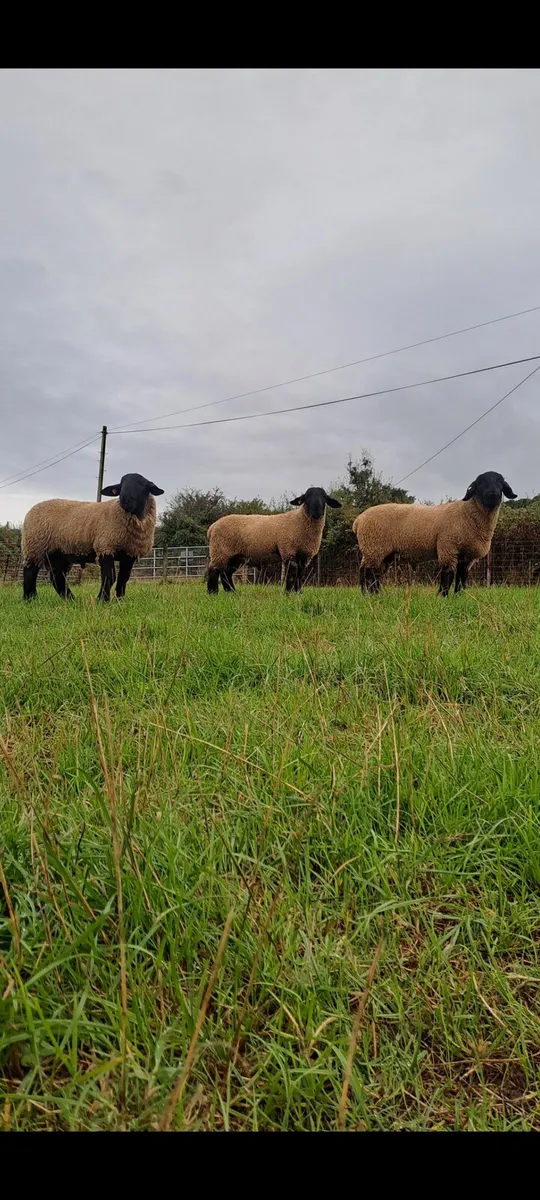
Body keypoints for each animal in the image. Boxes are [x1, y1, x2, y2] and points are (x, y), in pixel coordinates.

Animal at [21, 472, 164, 602]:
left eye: (141, 484)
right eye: (121, 485)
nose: (124, 501)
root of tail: (32, 509)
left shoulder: (130, 553)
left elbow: (124, 578)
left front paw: (119, 600)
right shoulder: (105, 546)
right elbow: (109, 576)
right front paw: (102, 600)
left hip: (56, 553)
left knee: (57, 576)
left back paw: (70, 599)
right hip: (35, 546)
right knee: (30, 572)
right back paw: (30, 599)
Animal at [206, 486, 342, 594]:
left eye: (324, 497)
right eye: (306, 498)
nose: (317, 512)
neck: (300, 521)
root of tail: (213, 527)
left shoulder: (305, 557)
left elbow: (300, 576)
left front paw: (298, 593)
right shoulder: (289, 551)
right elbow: (291, 575)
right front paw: (288, 593)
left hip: (235, 556)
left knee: (226, 573)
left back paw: (231, 592)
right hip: (221, 550)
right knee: (214, 570)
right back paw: (213, 593)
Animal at [352, 470, 517, 596]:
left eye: (501, 483)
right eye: (480, 483)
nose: (493, 494)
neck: (467, 513)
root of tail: (359, 520)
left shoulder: (466, 557)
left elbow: (462, 577)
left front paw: (459, 596)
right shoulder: (448, 547)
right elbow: (447, 575)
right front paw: (442, 596)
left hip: (383, 553)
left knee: (375, 573)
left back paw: (376, 594)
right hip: (373, 547)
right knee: (365, 571)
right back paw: (366, 595)